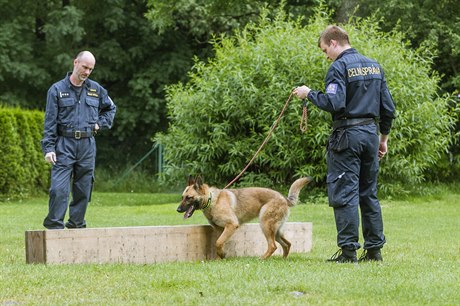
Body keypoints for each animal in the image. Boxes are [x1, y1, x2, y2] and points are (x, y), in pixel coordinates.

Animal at [178, 176, 310, 260]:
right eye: (182, 197)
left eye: (189, 198)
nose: (178, 210)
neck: (212, 200)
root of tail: (284, 198)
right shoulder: (221, 229)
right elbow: (219, 243)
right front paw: (220, 257)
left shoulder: (231, 225)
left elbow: (218, 242)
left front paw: (221, 255)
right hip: (275, 231)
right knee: (287, 244)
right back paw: (283, 259)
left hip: (265, 225)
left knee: (273, 246)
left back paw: (262, 259)